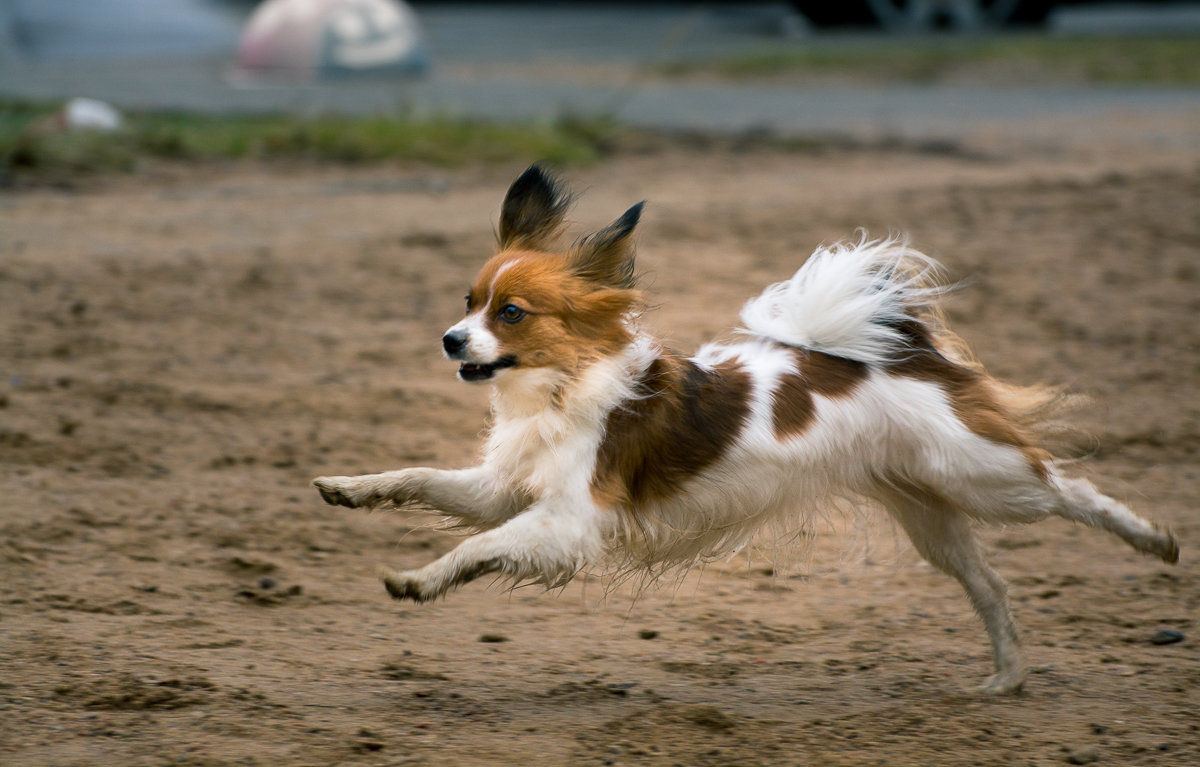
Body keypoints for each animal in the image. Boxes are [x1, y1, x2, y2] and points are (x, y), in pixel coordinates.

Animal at [312, 166, 1180, 696]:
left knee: (1067, 488)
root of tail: (905, 348)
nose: (451, 340)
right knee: (991, 584)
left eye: (511, 313)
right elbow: (418, 479)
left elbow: (476, 547)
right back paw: (1007, 676)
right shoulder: (504, 489)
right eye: (468, 301)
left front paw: (419, 579)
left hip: (981, 475)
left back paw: (1152, 538)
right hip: (927, 512)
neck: (561, 386)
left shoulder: (566, 522)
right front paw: (348, 488)